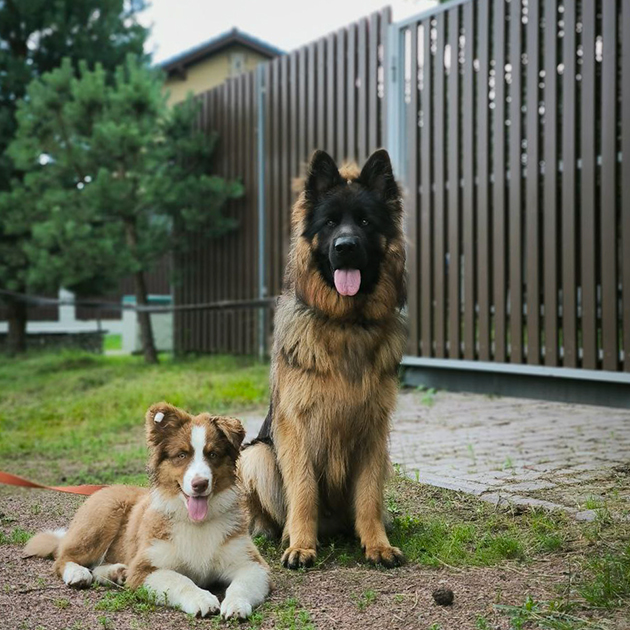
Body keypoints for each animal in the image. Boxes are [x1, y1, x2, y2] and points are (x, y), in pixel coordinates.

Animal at [24, 404, 272, 624]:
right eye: (182, 455)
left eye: (213, 454)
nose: (200, 484)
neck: (195, 523)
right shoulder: (145, 569)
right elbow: (180, 579)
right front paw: (201, 599)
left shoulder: (252, 563)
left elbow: (241, 584)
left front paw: (236, 605)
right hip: (103, 515)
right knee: (63, 557)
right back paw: (77, 573)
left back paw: (115, 572)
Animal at [239, 149, 408, 572]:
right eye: (330, 223)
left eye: (364, 221)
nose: (345, 246)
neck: (345, 324)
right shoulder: (296, 428)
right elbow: (303, 490)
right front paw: (300, 545)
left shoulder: (373, 432)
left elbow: (369, 496)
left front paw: (377, 544)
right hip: (257, 455)